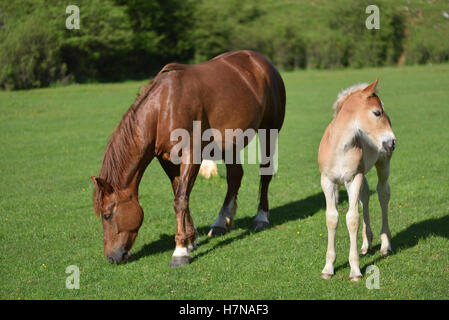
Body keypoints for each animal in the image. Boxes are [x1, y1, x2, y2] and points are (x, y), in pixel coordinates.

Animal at [91, 49, 286, 264]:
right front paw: (191, 240)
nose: (112, 257)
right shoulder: (167, 159)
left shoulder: (191, 154)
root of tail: (262, 62)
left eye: (107, 215)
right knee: (234, 177)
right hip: (230, 144)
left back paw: (261, 218)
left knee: (265, 173)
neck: (163, 107)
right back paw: (221, 222)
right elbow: (181, 193)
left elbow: (180, 200)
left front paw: (180, 251)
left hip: (269, 132)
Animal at [316, 79, 394, 280]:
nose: (392, 142)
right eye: (377, 112)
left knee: (383, 193)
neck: (339, 147)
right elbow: (332, 218)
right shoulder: (328, 182)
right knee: (365, 195)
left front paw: (355, 270)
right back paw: (366, 245)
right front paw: (328, 268)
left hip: (383, 164)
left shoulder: (353, 178)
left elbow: (352, 219)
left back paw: (385, 245)